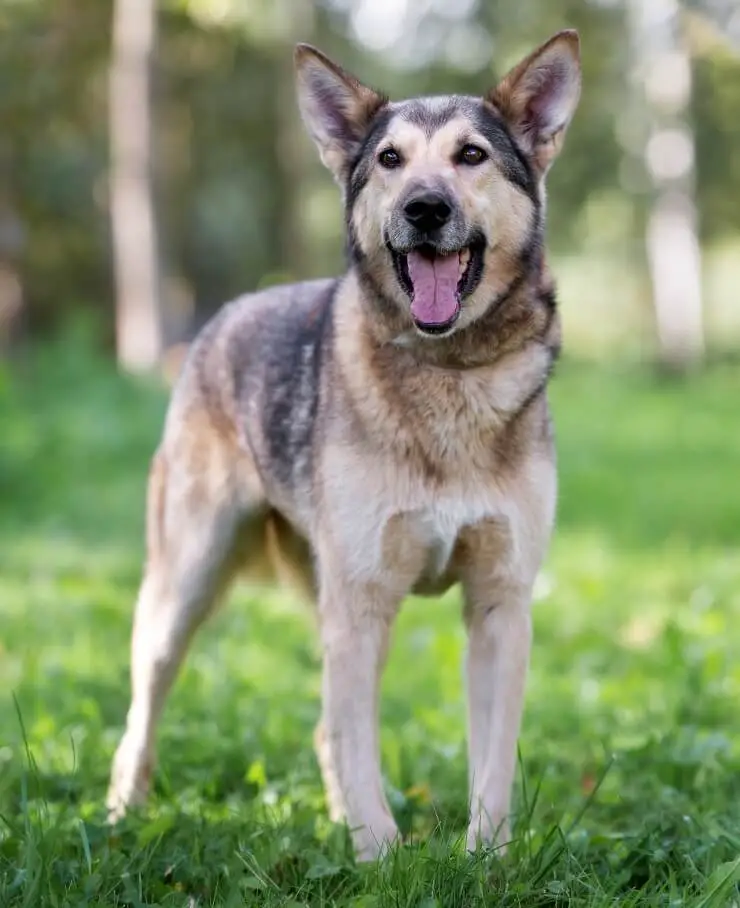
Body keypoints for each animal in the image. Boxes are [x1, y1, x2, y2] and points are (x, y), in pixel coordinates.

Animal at [108, 31, 584, 860]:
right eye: (389, 160)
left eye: (471, 156)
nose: (424, 209)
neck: (446, 373)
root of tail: (223, 313)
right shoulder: (359, 602)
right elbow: (361, 744)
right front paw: (381, 861)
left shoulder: (501, 604)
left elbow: (491, 760)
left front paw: (486, 860)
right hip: (182, 589)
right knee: (144, 715)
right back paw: (117, 816)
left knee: (325, 730)